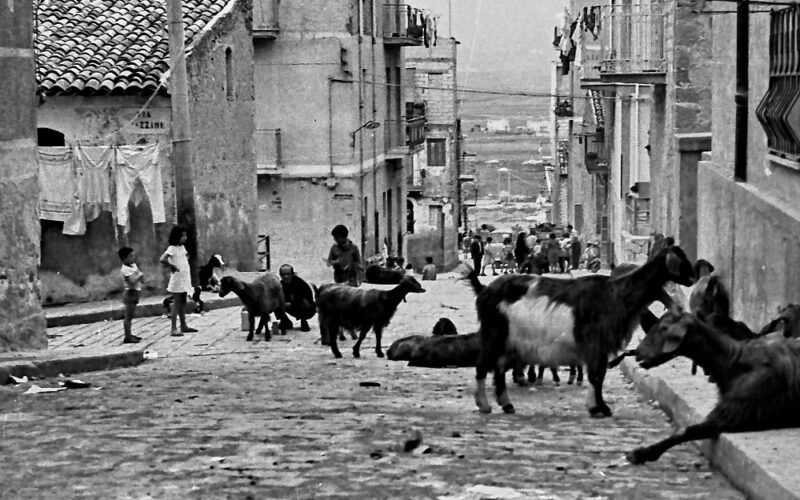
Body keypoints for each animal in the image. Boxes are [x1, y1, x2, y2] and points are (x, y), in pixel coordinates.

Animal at [468, 246, 692, 418]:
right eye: (682, 262)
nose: (693, 278)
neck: (616, 294)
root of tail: (484, 291)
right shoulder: (594, 343)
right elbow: (595, 375)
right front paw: (598, 408)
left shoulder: (600, 348)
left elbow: (599, 375)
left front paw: (599, 407)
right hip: (493, 333)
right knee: (482, 366)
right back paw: (484, 405)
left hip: (507, 340)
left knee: (498, 368)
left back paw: (507, 405)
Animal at [628, 308, 800, 464]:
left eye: (664, 327)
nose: (638, 352)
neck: (733, 362)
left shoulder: (734, 414)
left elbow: (684, 431)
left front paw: (641, 453)